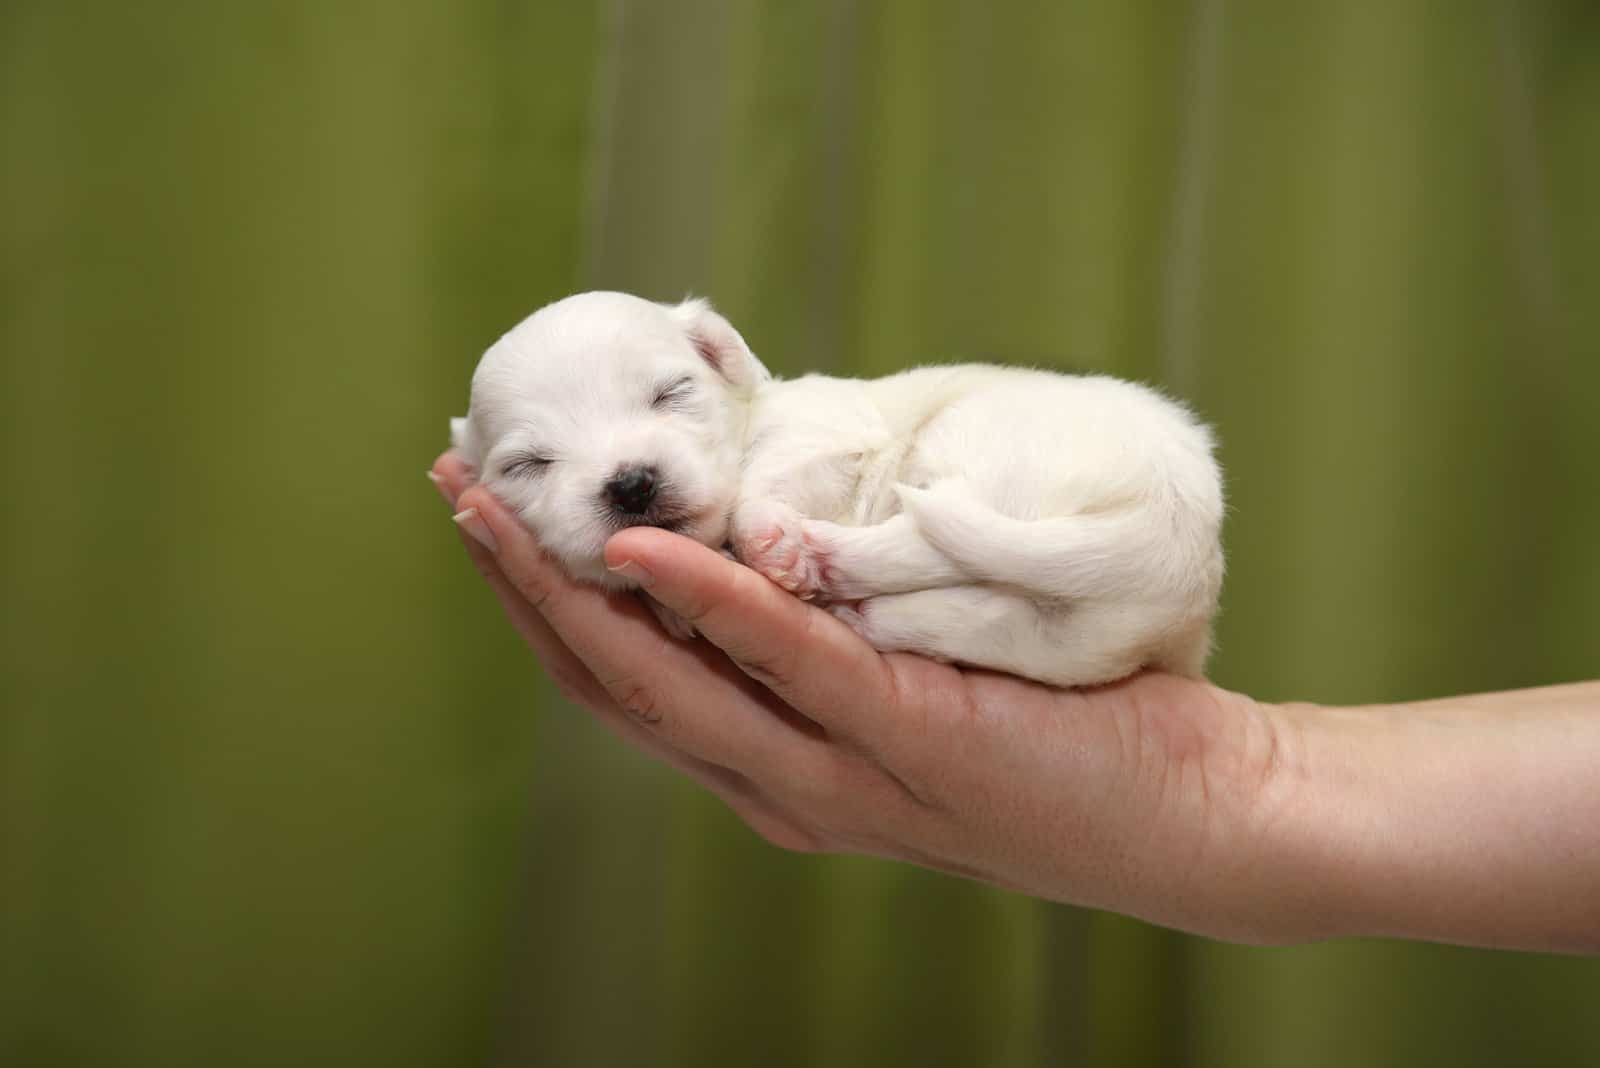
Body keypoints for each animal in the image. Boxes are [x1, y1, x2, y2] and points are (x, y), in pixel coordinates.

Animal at [451, 292, 1222, 687]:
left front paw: (764, 535)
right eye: (528, 465)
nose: (631, 485)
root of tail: (1170, 529)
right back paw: (863, 609)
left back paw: (813, 558)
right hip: (1067, 643)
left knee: (919, 539)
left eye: (672, 392)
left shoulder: (821, 437)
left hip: (980, 450)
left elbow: (769, 480)